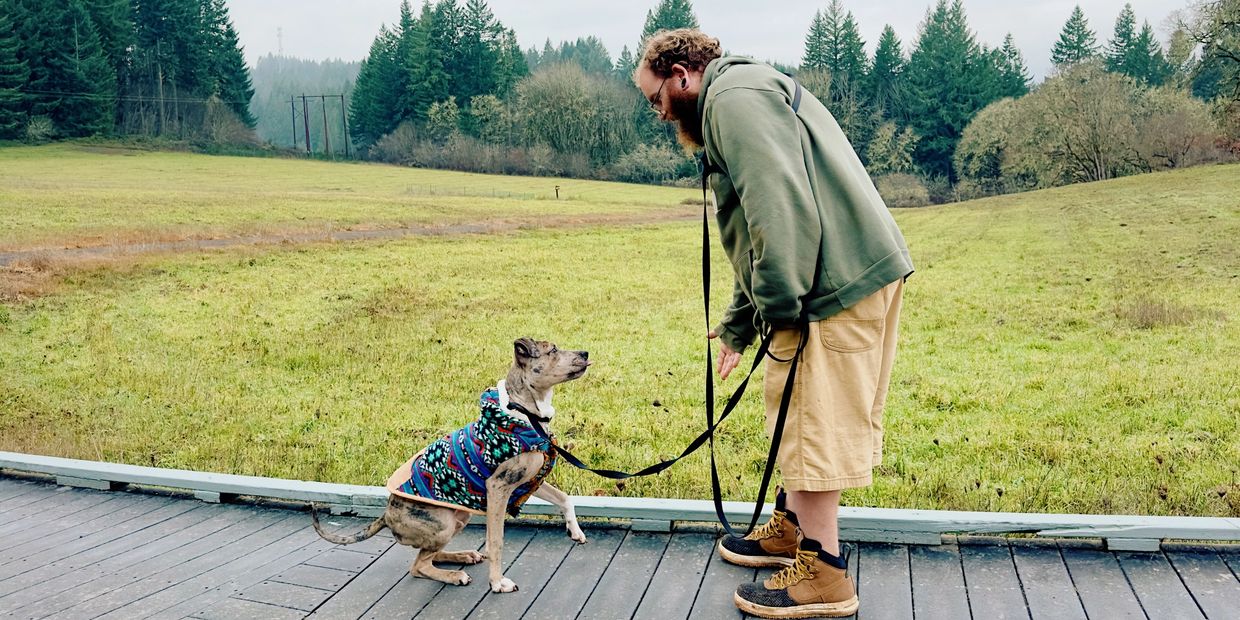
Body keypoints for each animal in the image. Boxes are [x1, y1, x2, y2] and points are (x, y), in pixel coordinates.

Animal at [312, 339, 587, 590]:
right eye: (553, 350)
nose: (585, 352)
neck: (525, 412)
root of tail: (387, 513)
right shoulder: (498, 488)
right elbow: (495, 540)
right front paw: (498, 582)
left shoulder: (529, 480)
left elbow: (565, 498)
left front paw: (575, 531)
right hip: (443, 524)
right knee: (418, 565)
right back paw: (455, 575)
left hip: (459, 517)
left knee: (426, 555)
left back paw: (463, 556)